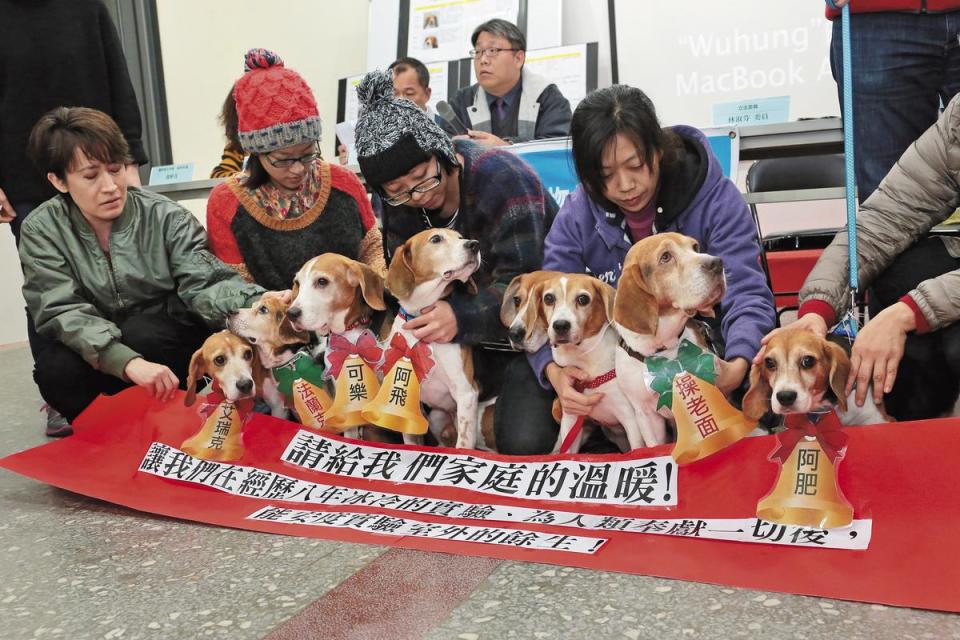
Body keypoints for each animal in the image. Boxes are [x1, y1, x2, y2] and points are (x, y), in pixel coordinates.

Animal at [384, 228, 488, 448]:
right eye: (436, 239)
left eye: (460, 237)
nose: (474, 244)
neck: (420, 323)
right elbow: (411, 441)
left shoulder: (466, 394)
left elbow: (463, 445)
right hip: (436, 417)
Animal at [616, 232, 728, 448]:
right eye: (665, 257)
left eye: (695, 247)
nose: (717, 263)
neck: (665, 348)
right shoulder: (645, 414)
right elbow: (654, 446)